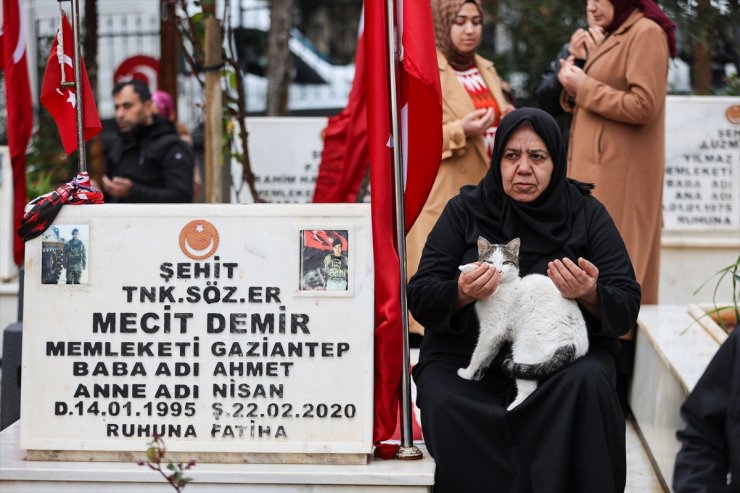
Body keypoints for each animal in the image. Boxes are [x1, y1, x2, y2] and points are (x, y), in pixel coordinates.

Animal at [456, 236, 588, 410]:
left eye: (505, 262)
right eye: (490, 262)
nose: (498, 271)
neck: (500, 287)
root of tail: (573, 343)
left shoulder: (492, 330)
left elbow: (477, 354)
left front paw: (467, 373)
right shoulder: (498, 336)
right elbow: (488, 354)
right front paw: (480, 372)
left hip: (524, 348)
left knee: (529, 390)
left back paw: (511, 409)